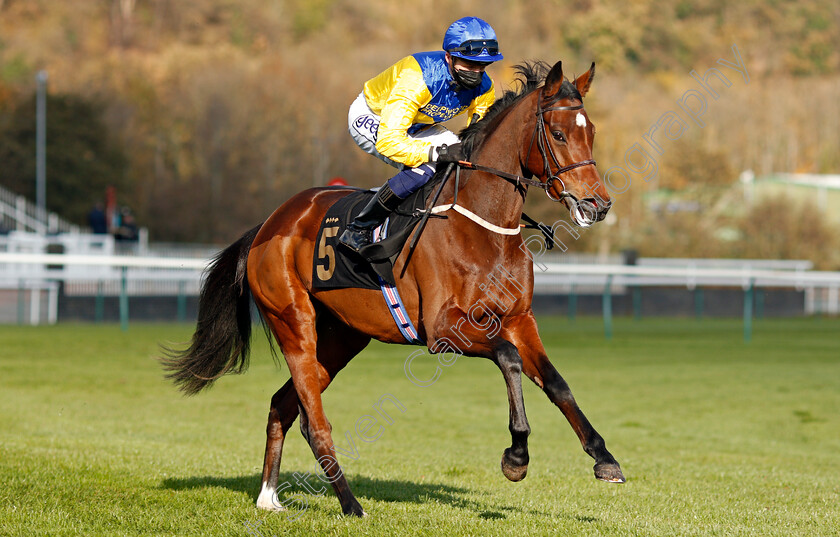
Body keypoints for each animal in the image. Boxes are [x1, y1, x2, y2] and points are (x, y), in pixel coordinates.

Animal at [162, 59, 624, 516]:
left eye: (591, 132)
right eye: (559, 134)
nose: (598, 205)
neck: (482, 224)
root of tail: (268, 225)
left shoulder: (518, 319)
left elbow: (557, 382)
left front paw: (604, 458)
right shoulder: (444, 330)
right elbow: (509, 359)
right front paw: (517, 455)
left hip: (341, 339)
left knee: (284, 406)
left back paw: (269, 496)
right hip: (294, 323)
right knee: (316, 420)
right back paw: (351, 504)